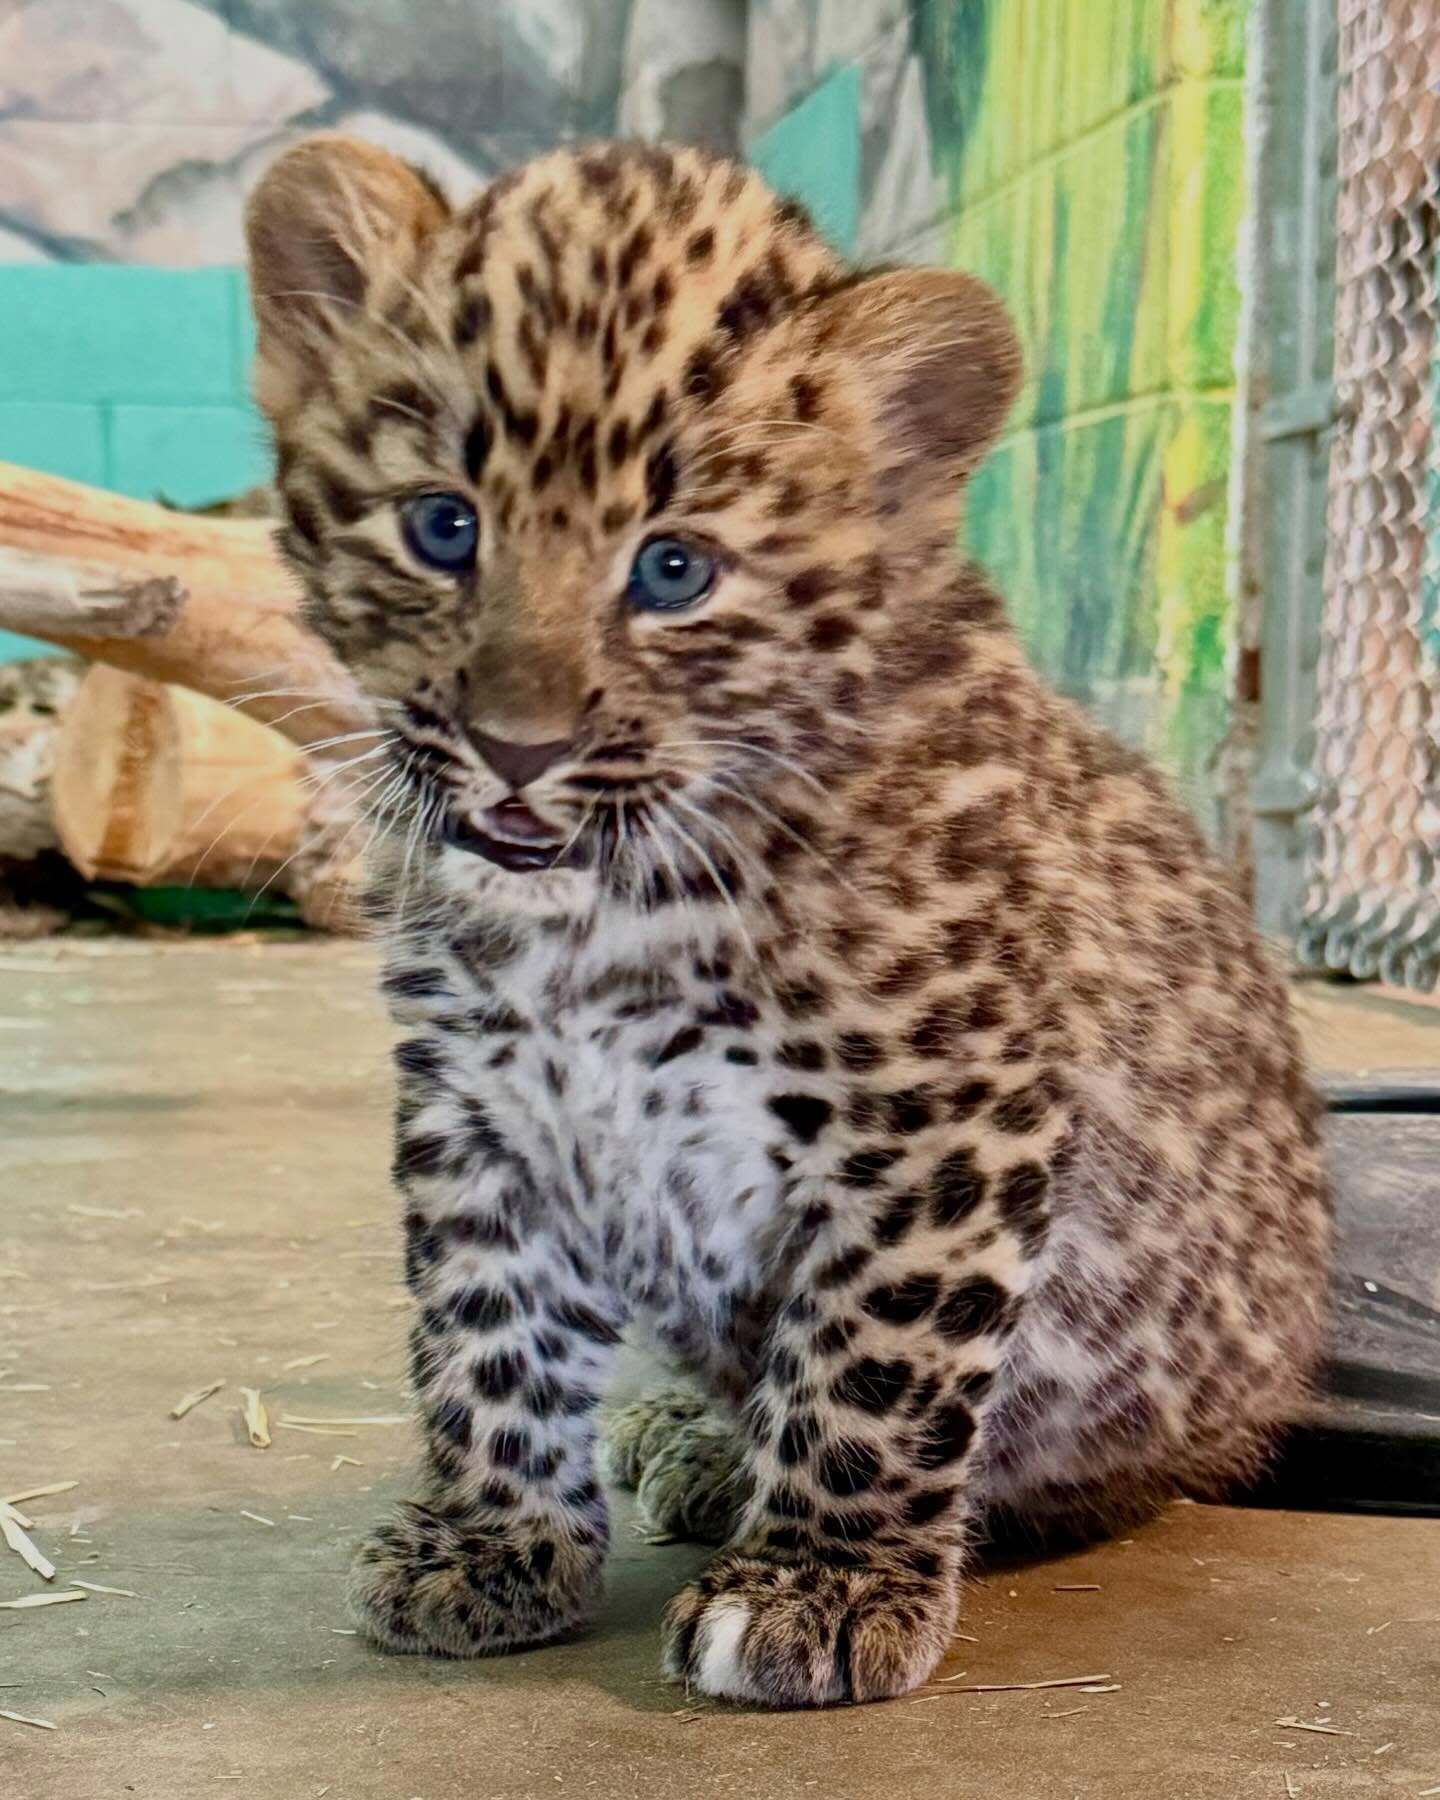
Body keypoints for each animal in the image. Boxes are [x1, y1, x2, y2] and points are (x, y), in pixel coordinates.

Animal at [244, 134, 1331, 1707]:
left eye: (674, 569)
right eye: (441, 527)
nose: (516, 750)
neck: (601, 917)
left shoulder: (942, 1115)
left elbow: (874, 1361)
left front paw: (818, 1585)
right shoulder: (478, 1109)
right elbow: (487, 1331)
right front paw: (491, 1543)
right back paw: (691, 1441)